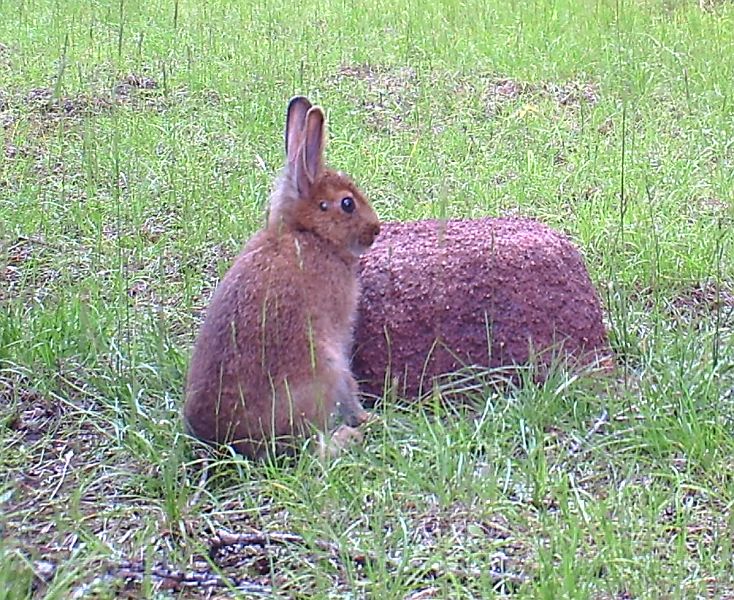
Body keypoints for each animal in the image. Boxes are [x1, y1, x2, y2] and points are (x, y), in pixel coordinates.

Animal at [184, 96, 382, 458]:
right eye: (347, 204)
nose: (375, 229)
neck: (307, 234)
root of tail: (233, 441)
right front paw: (367, 417)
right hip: (322, 369)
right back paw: (352, 434)